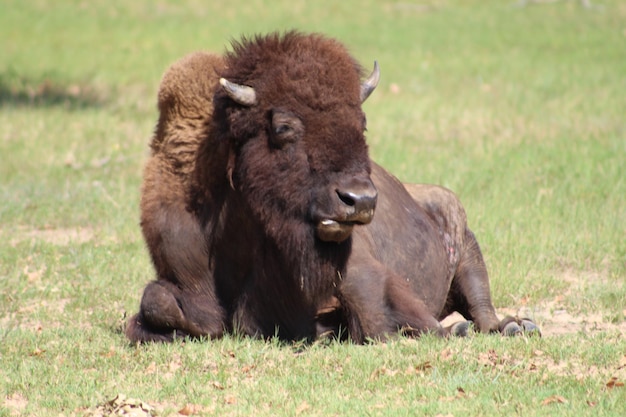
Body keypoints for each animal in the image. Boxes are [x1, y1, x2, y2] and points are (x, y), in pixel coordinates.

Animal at [125, 31, 536, 344]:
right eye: (283, 127)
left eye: (361, 123)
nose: (360, 200)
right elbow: (157, 303)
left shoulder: (361, 270)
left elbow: (379, 314)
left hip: (467, 248)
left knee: (481, 306)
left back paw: (515, 325)